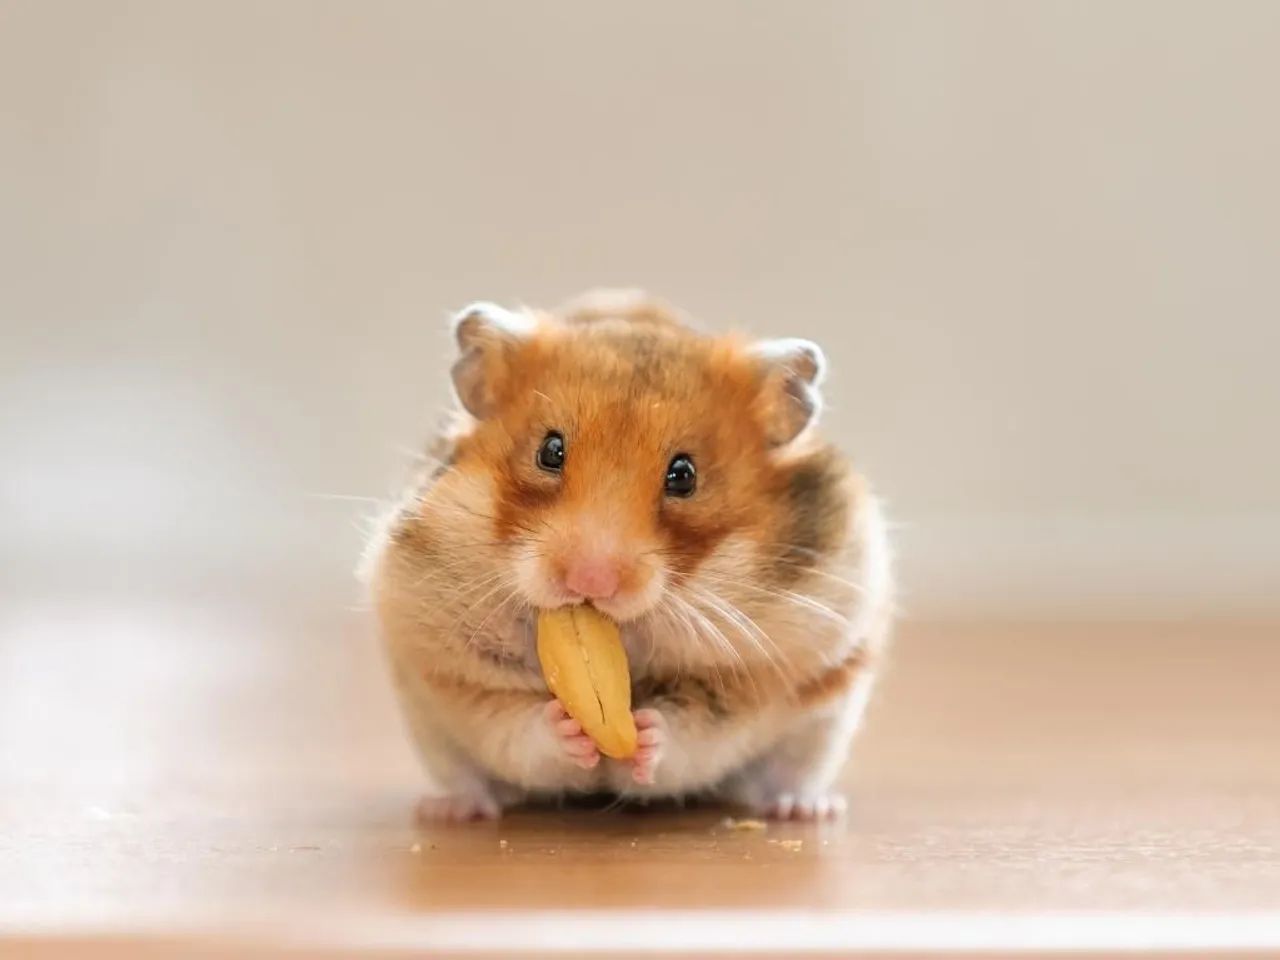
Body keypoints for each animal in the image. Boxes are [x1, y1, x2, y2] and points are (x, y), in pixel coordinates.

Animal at [364, 289, 893, 822]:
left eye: (684, 475)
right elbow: (515, 723)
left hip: (823, 723)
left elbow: (695, 728)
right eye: (549, 451)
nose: (590, 582)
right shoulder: (449, 667)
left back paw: (806, 809)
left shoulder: (760, 673)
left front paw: (645, 732)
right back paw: (450, 810)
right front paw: (566, 727)